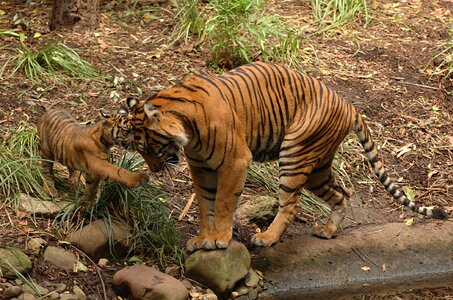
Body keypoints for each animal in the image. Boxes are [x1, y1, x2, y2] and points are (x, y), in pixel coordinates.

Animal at [124, 61, 448, 251]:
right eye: (140, 151)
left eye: (151, 148)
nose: (154, 170)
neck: (188, 132)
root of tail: (348, 104)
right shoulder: (200, 167)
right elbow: (205, 205)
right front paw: (203, 238)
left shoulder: (235, 162)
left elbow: (225, 202)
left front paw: (219, 239)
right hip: (318, 167)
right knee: (342, 193)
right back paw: (328, 231)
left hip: (294, 153)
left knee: (291, 203)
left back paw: (266, 238)